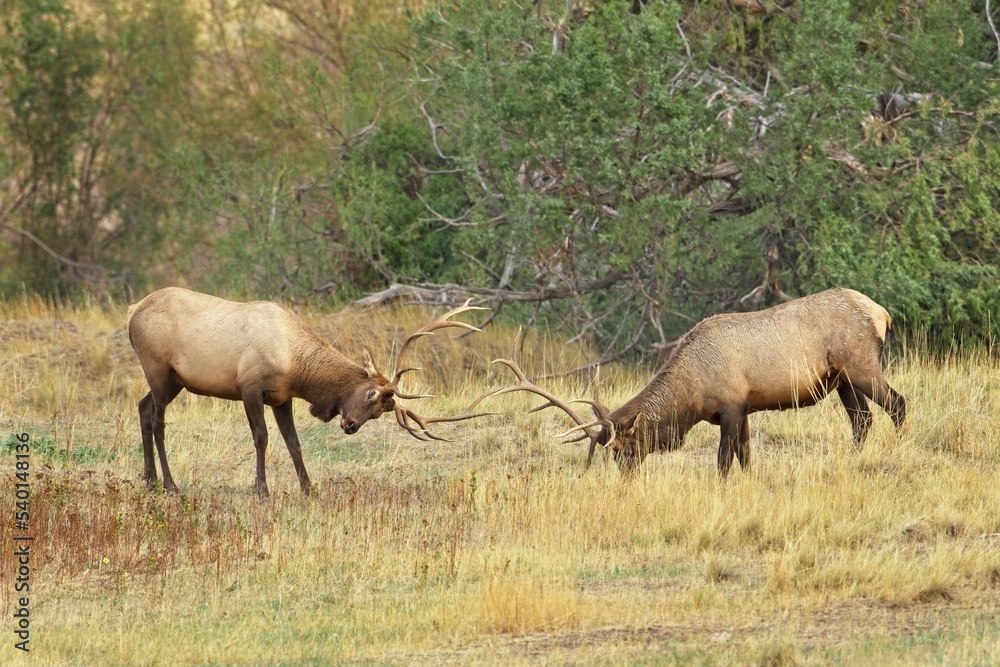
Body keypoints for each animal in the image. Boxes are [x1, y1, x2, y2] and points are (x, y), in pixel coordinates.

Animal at [126, 290, 488, 498]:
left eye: (380, 412)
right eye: (371, 393)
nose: (349, 425)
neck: (295, 366)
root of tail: (132, 310)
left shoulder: (281, 397)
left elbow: (293, 442)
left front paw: (309, 487)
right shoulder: (250, 387)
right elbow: (261, 437)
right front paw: (262, 489)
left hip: (175, 381)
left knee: (143, 408)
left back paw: (149, 479)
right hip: (158, 369)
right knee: (158, 421)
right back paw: (170, 484)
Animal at [468, 290, 908, 478]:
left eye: (626, 449)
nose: (626, 479)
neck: (692, 395)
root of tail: (882, 312)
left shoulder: (731, 406)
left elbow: (725, 460)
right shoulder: (744, 410)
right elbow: (746, 457)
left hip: (861, 365)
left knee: (898, 404)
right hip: (842, 379)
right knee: (862, 420)